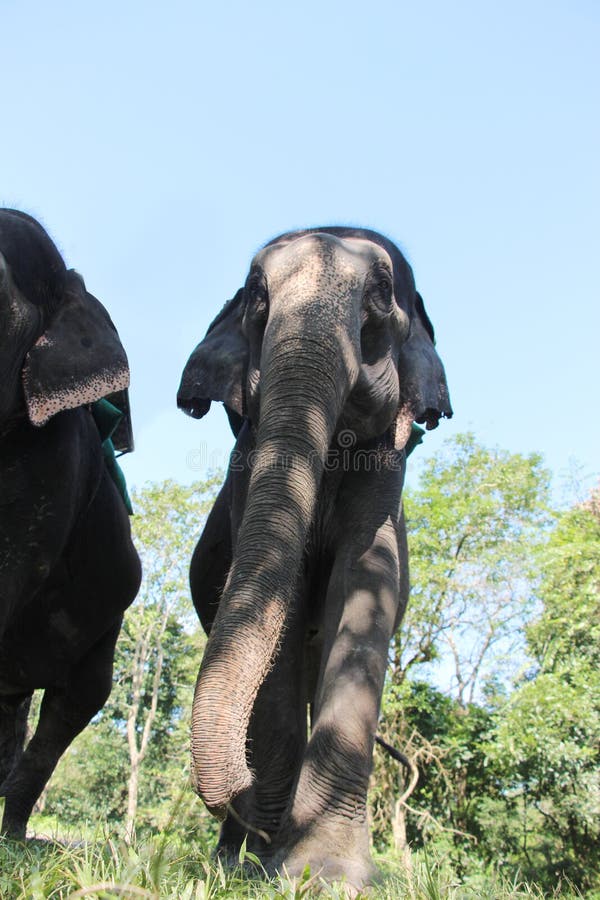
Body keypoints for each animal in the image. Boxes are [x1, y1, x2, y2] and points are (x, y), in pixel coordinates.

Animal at [176, 227, 452, 892]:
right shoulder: (247, 468)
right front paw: (268, 868)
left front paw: (324, 877)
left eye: (381, 293)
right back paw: (234, 863)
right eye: (255, 295)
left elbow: (366, 580)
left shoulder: (386, 471)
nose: (250, 804)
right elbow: (289, 594)